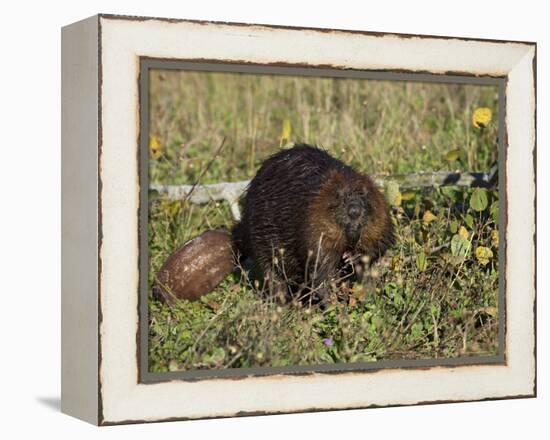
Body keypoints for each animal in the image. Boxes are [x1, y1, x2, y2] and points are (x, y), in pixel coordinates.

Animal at [233, 144, 396, 302]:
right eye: (340, 196)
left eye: (364, 195)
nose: (354, 211)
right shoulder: (312, 222)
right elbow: (320, 261)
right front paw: (331, 299)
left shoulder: (381, 218)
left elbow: (381, 242)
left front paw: (353, 256)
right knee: (273, 275)